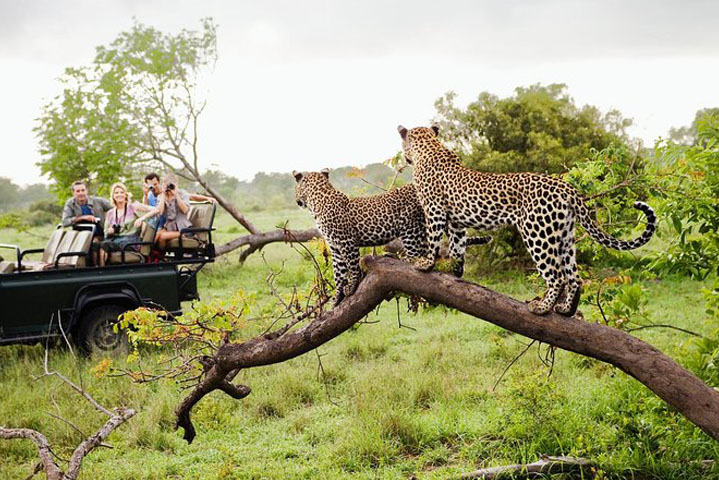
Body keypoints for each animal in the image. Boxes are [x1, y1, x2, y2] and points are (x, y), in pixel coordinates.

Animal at [296, 169, 492, 304]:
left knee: (417, 256)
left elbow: (352, 267)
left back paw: (399, 258)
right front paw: (336, 297)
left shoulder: (347, 243)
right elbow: (338, 273)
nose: (297, 201)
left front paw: (351, 286)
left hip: (410, 228)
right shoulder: (335, 247)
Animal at [396, 125, 660, 316]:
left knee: (557, 276)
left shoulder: (434, 210)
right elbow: (457, 246)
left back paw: (542, 308)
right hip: (564, 236)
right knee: (574, 277)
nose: (404, 157)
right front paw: (456, 270)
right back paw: (565, 310)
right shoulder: (457, 221)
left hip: (537, 233)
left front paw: (426, 263)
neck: (429, 147)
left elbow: (433, 239)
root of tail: (567, 188)